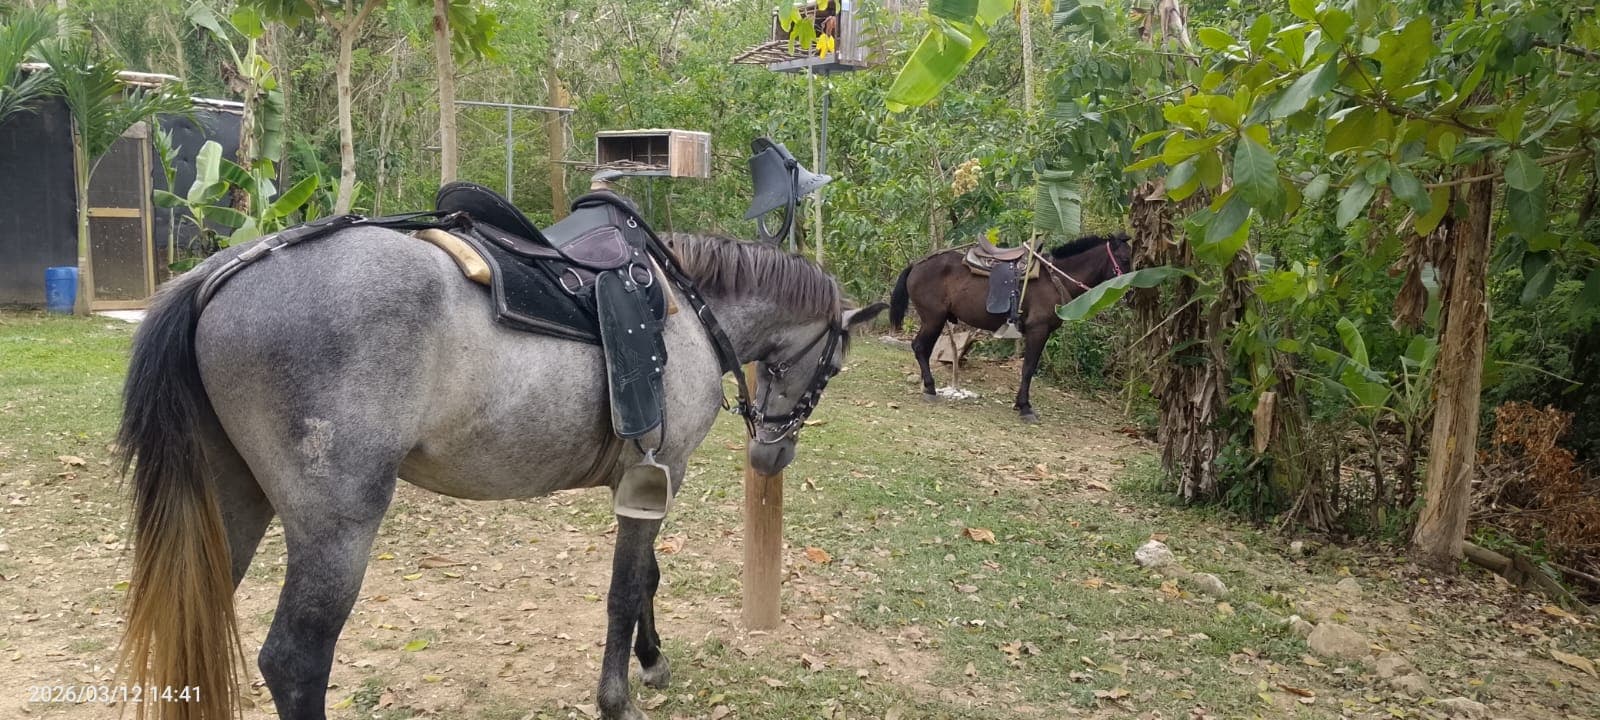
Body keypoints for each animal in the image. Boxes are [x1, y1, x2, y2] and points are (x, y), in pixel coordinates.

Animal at [113, 224, 887, 720]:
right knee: (295, 662)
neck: (686, 309)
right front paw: (617, 698)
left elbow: (647, 579)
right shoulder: (658, 474)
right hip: (337, 529)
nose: (771, 454)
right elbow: (626, 588)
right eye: (833, 368)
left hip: (231, 508)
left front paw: (652, 661)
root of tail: (217, 276)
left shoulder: (647, 482)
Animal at [888, 234, 1132, 421]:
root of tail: (917, 264)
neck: (1055, 279)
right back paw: (930, 388)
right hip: (933, 319)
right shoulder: (1037, 330)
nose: (1130, 293)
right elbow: (1028, 369)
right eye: (1124, 258)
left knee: (923, 349)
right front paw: (1025, 407)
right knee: (920, 347)